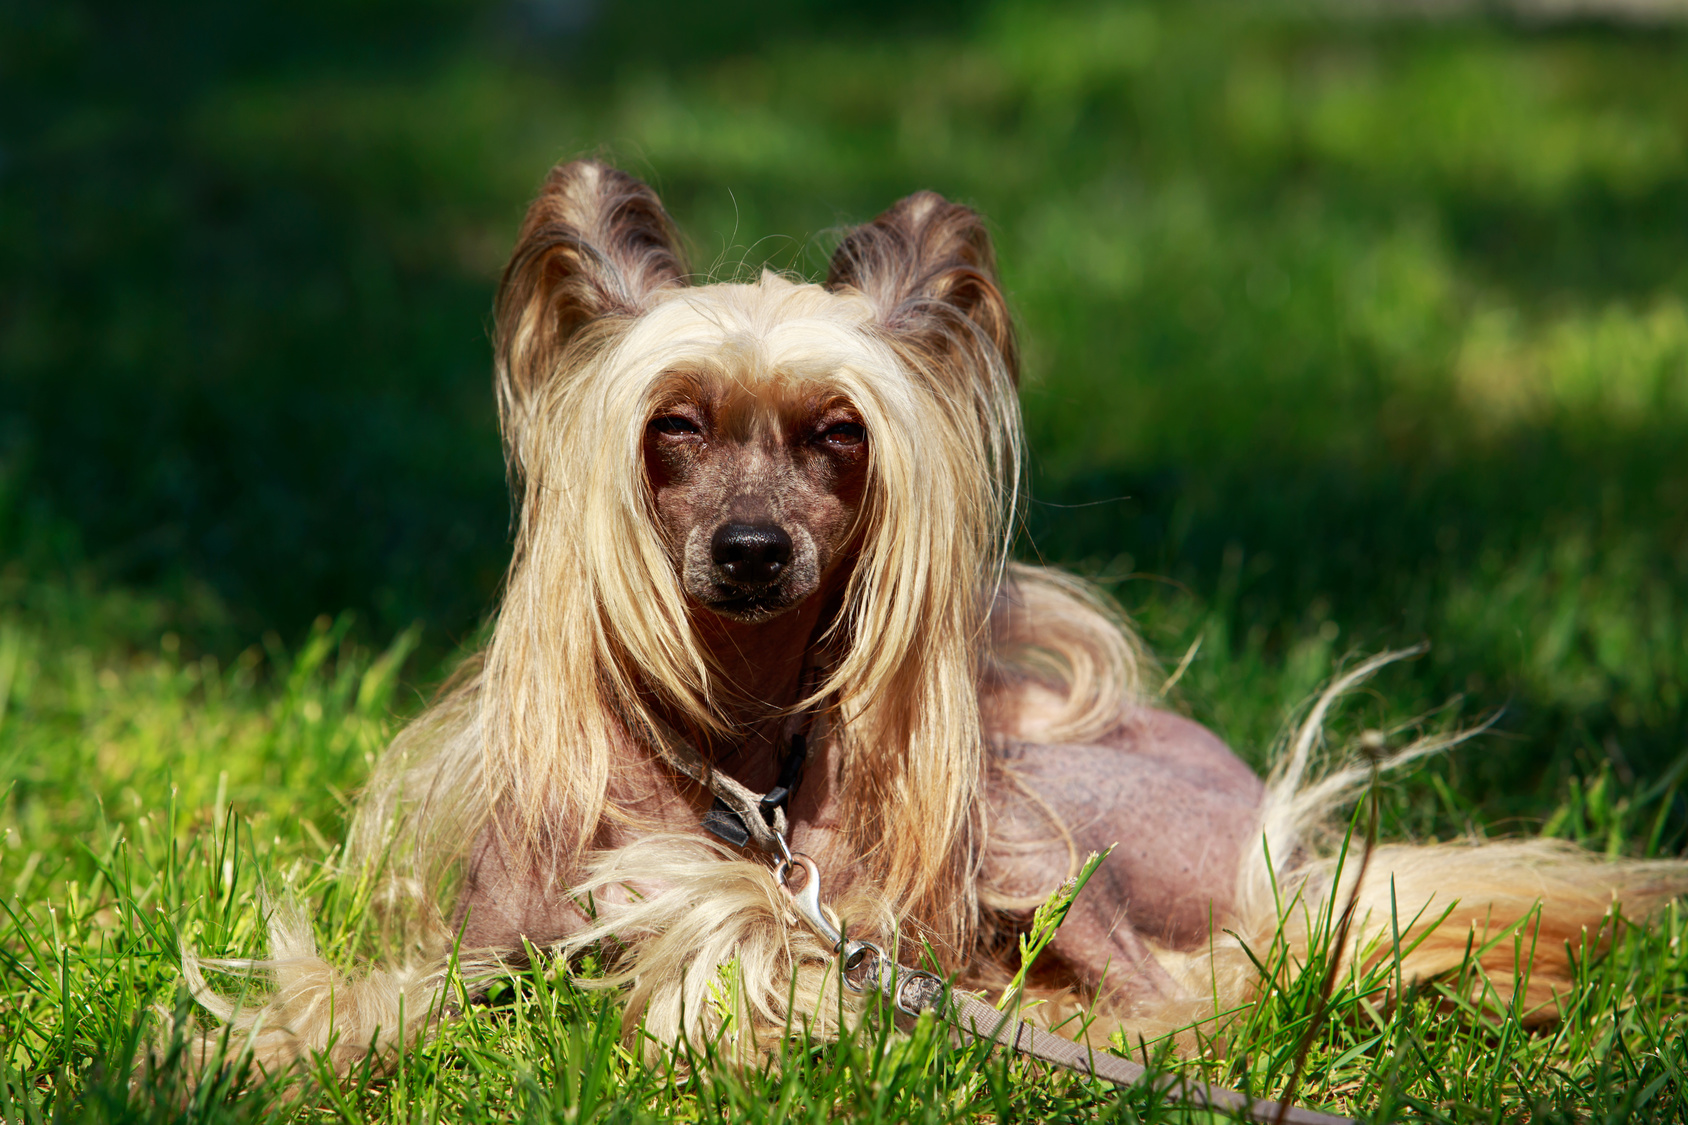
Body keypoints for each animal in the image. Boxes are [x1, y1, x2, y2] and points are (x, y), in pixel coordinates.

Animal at [191, 162, 1688, 1074]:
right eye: (672, 427)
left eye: (838, 433)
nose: (752, 551)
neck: (739, 756)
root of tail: (1268, 818)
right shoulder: (482, 941)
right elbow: (376, 998)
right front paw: (251, 1051)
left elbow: (746, 944)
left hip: (1039, 819)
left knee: (1184, 999)